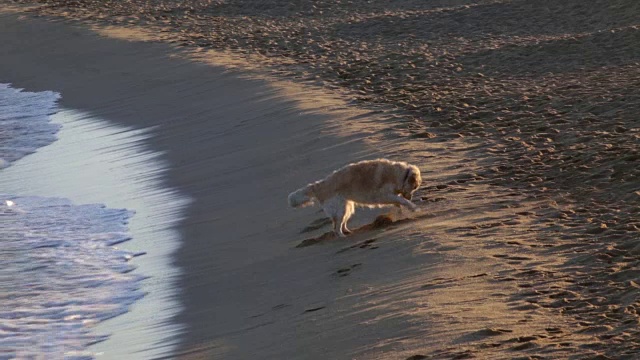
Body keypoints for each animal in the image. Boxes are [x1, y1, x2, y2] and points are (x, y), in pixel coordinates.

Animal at [288, 159, 420, 238]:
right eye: (414, 187)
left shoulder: (390, 196)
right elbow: (401, 200)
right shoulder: (384, 195)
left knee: (341, 224)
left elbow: (398, 202)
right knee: (336, 228)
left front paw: (401, 211)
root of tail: (320, 186)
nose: (411, 197)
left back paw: (349, 232)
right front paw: (412, 207)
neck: (401, 175)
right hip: (341, 209)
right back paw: (343, 236)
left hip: (348, 208)